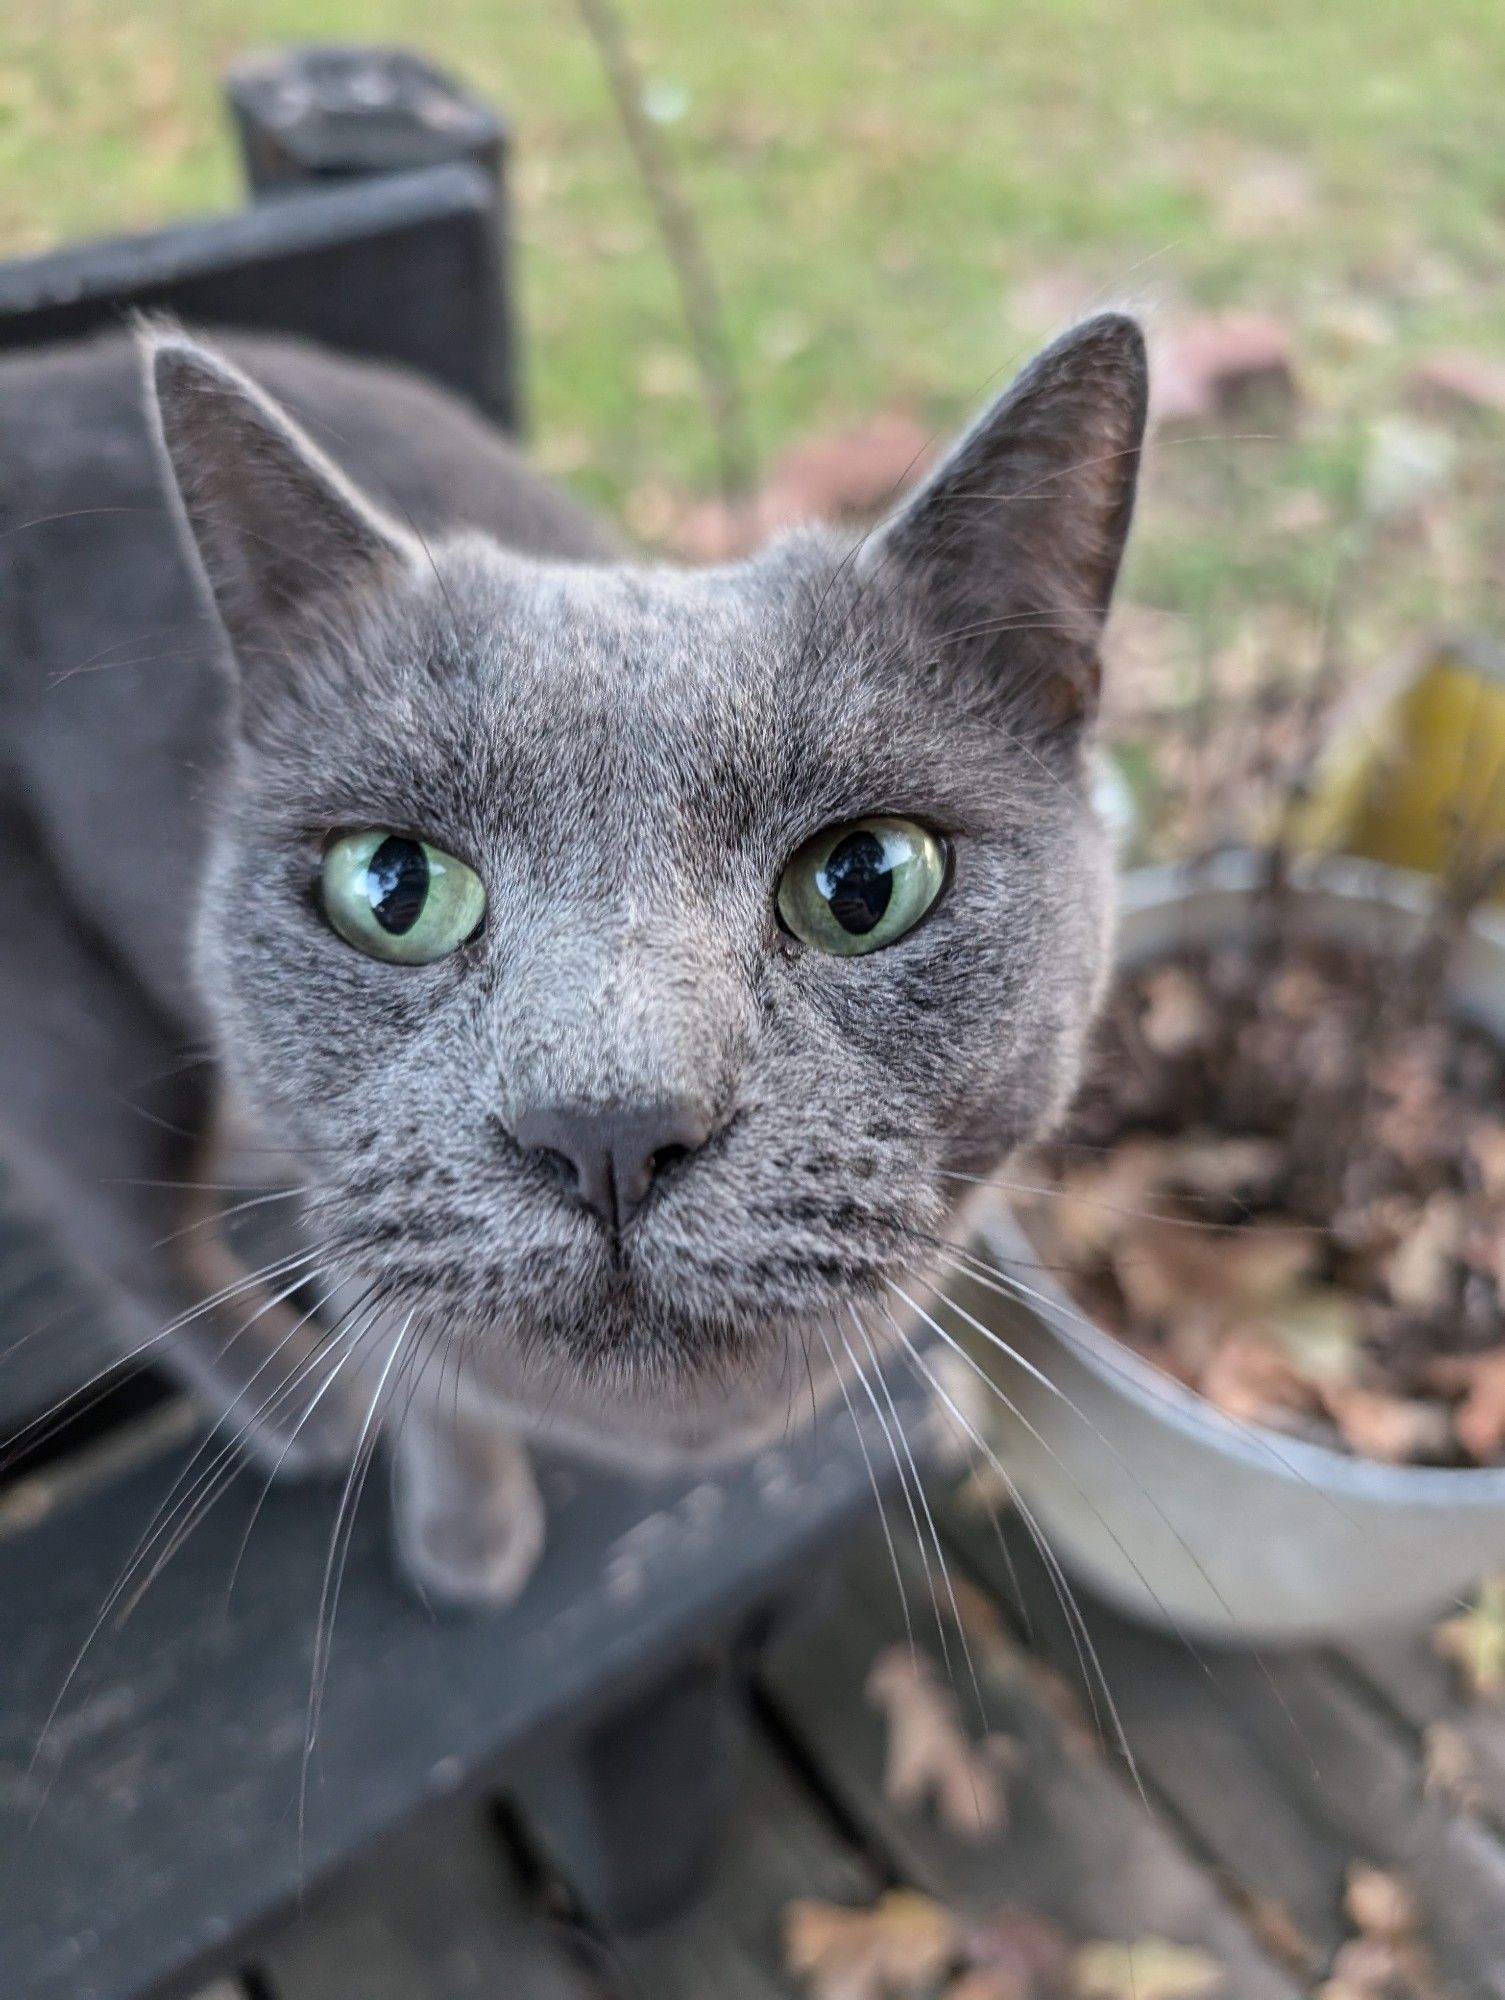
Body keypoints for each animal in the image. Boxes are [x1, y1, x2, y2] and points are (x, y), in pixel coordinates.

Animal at [0, 316, 1144, 1608]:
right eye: (390, 884)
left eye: (864, 880)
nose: (605, 1125)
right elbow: (419, 1364)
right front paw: (466, 1536)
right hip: (67, 1019)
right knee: (127, 1236)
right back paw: (297, 1400)